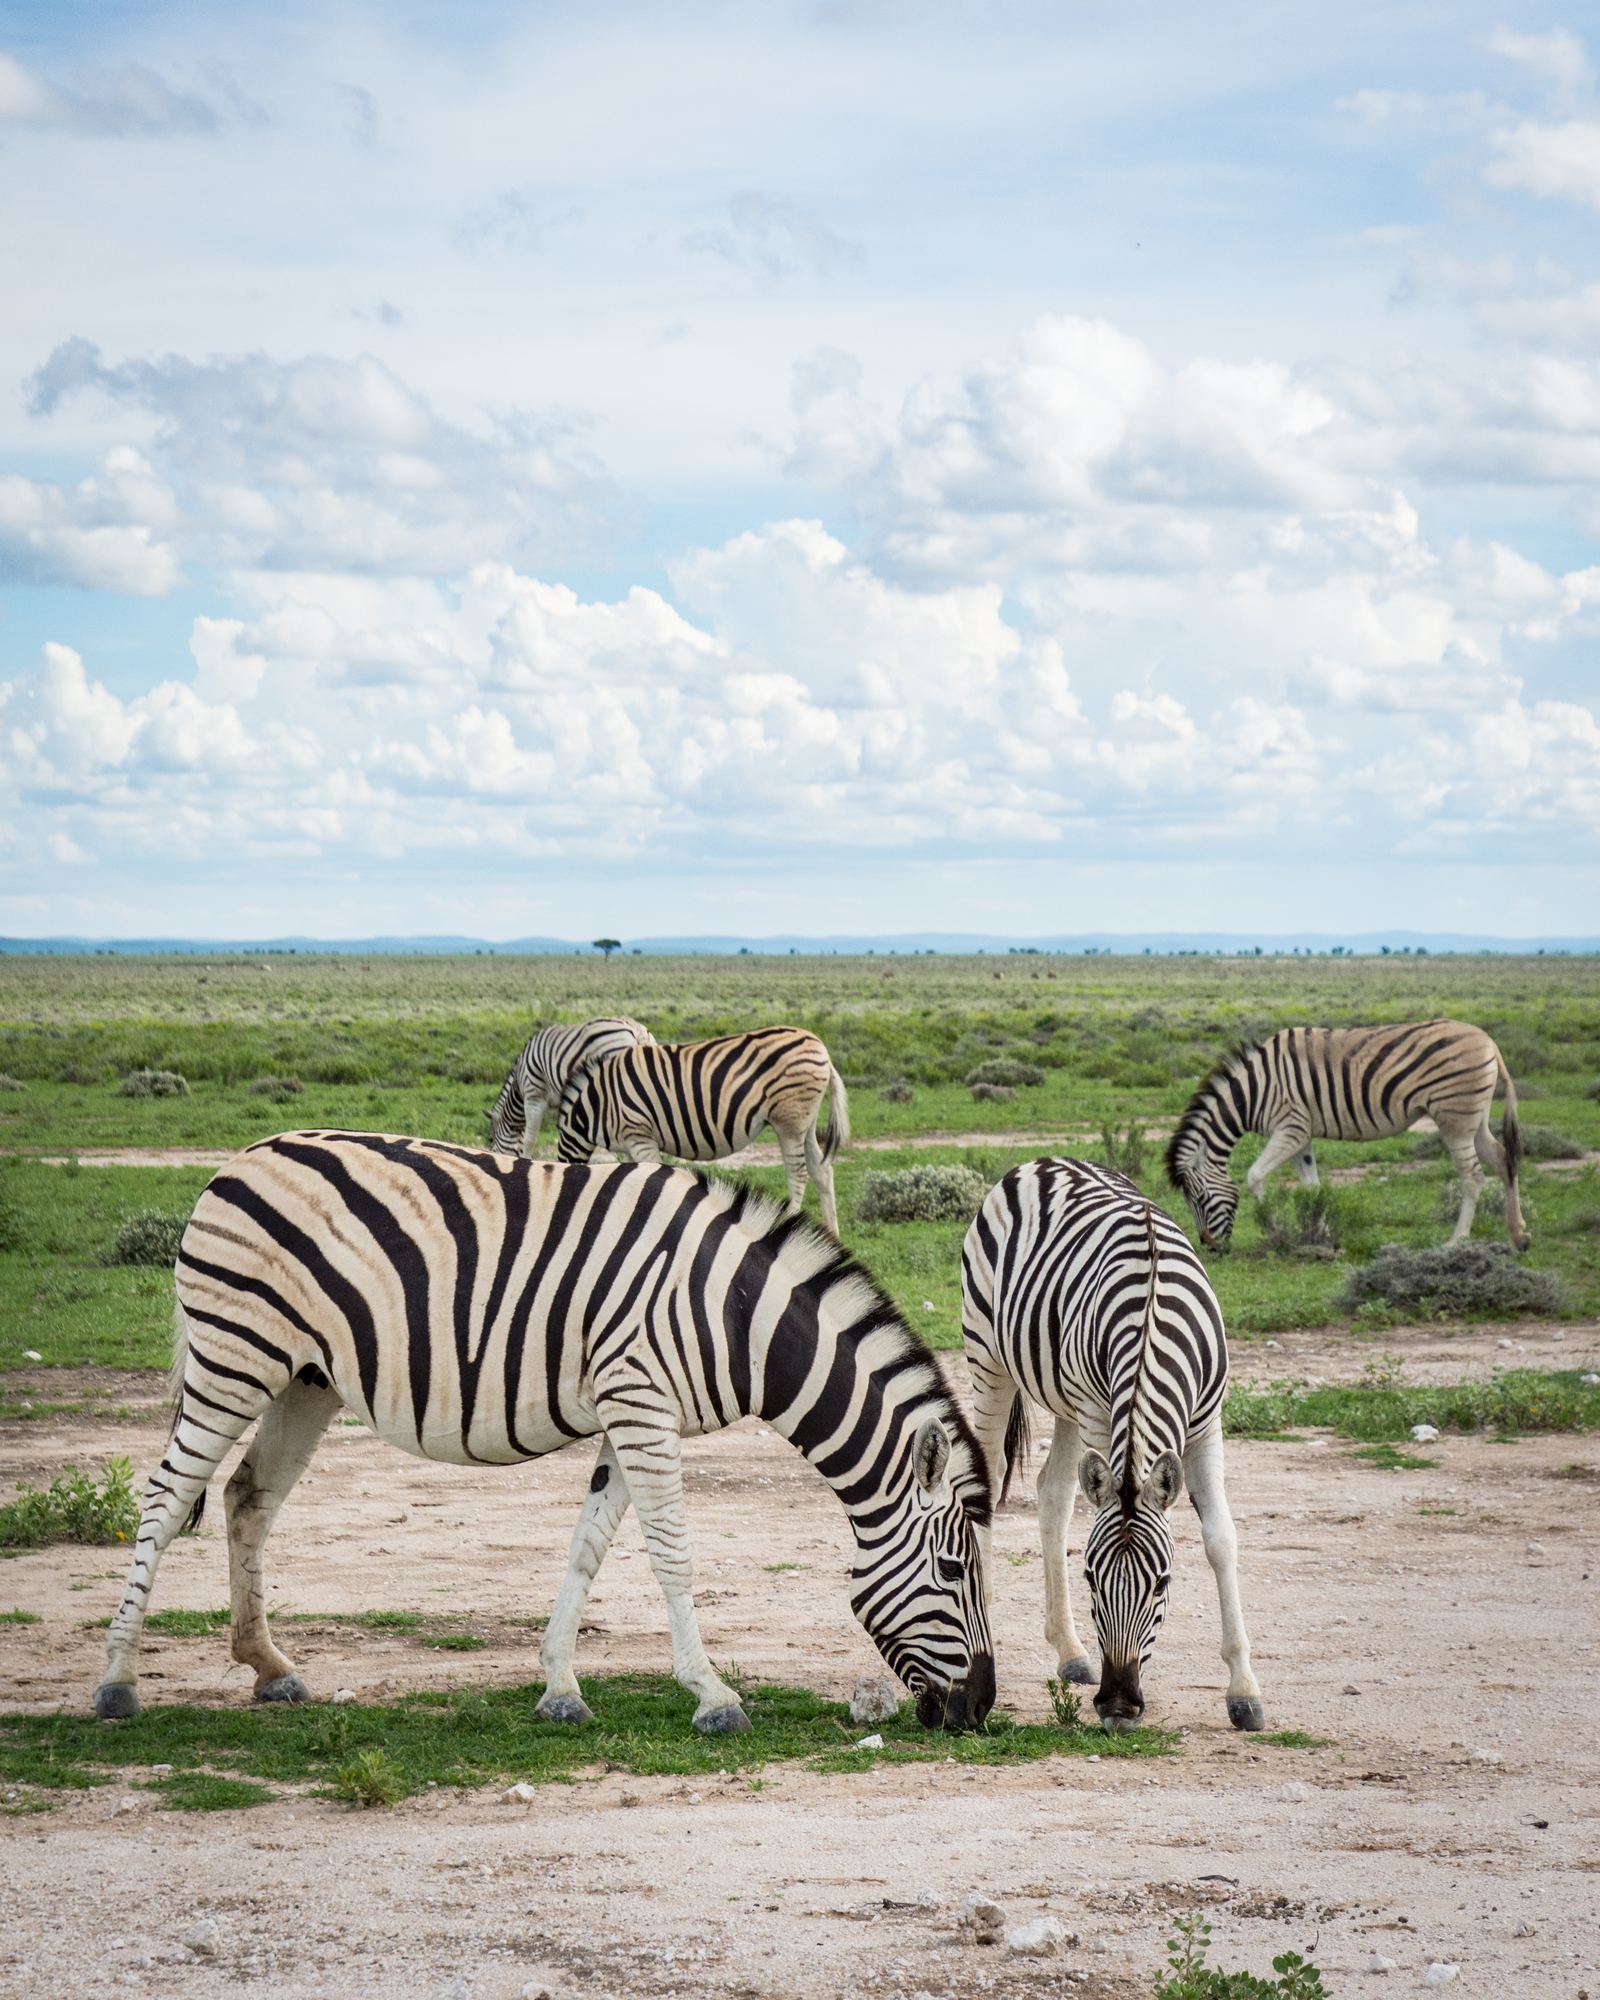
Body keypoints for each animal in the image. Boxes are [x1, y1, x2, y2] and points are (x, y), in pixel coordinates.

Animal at [93, 1131, 993, 1735]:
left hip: (303, 1379)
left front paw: (560, 1688)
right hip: (233, 1356)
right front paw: (714, 1696)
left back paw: (269, 1669)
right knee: (167, 1499)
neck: (741, 1314)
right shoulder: (640, 1403)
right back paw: (117, 1683)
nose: (980, 1708)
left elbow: (589, 1545)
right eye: (954, 1569)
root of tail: (239, 1160)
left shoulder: (634, 1411)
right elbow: (672, 1553)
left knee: (248, 1499)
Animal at [556, 1027, 850, 1236]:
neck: (596, 1105)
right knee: (821, 1169)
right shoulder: (630, 1145)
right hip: (806, 1122)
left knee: (798, 1173)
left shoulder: (640, 1136)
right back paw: (832, 1233)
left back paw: (791, 1221)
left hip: (789, 1120)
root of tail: (819, 1046)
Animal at [961, 1158, 1264, 1734]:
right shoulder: (1102, 1416)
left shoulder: (1207, 1421)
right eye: (1091, 1579)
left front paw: (1244, 1691)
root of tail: (1043, 1162)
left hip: (1063, 1397)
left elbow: (1222, 1540)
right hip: (988, 1358)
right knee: (983, 1482)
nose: (1120, 1707)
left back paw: (1071, 1651)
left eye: (1163, 1583)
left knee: (1053, 1493)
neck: (1151, 1319)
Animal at [1165, 1020, 1530, 1252]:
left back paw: (1457, 1241)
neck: (1254, 1091)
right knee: (1503, 1160)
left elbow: (1255, 1176)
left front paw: (1274, 1229)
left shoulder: (1291, 1128)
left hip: (1453, 1118)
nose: (1210, 1247)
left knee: (1473, 1177)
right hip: (1474, 1118)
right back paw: (1519, 1235)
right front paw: (1322, 1233)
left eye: (1199, 1198)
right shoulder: (1302, 1135)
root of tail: (1490, 1042)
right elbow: (1312, 1187)